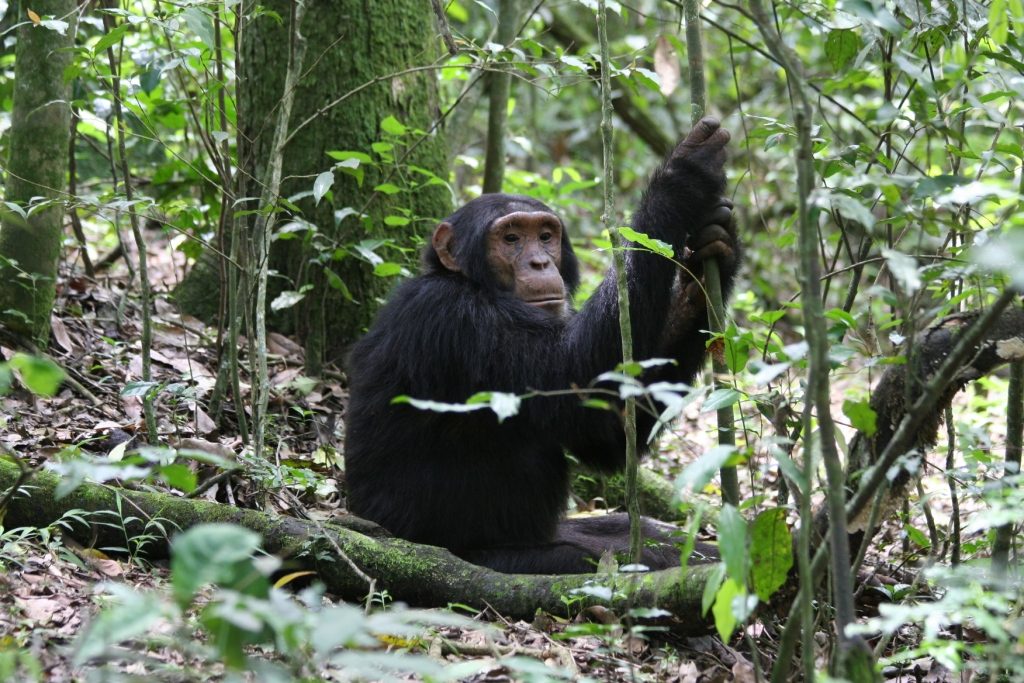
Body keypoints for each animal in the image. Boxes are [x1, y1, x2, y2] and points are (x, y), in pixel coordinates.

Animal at [342, 116, 737, 573]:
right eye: (511, 238)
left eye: (545, 235)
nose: (539, 262)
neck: (474, 284)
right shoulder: (458, 320)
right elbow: (575, 371)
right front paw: (683, 178)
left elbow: (602, 431)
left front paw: (709, 261)